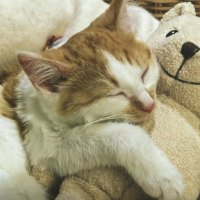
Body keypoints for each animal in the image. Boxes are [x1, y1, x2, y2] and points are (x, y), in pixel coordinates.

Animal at [0, 0, 183, 200]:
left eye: (144, 74)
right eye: (114, 95)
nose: (150, 105)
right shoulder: (44, 141)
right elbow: (122, 133)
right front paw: (162, 175)